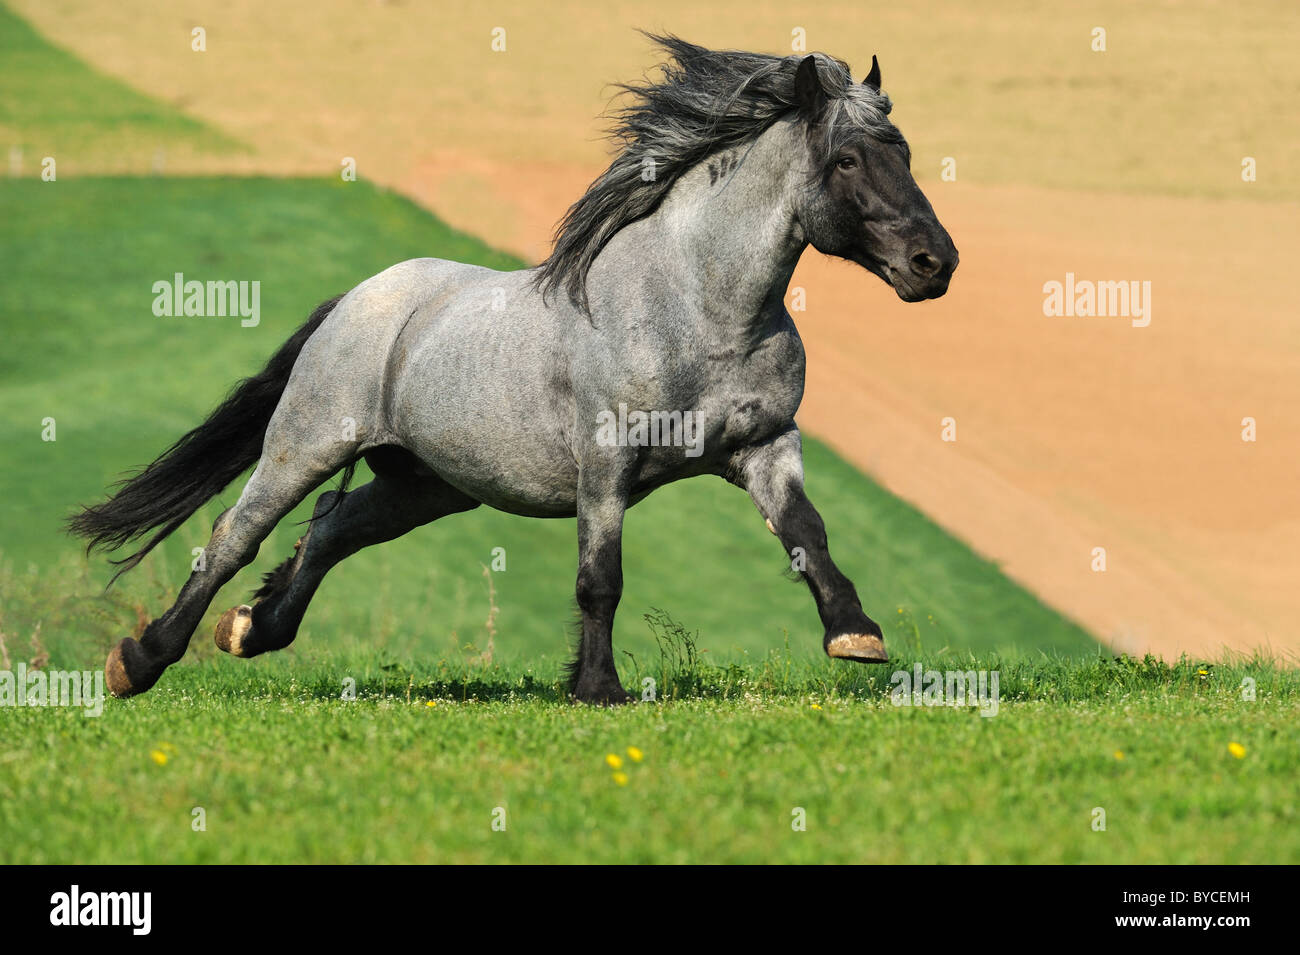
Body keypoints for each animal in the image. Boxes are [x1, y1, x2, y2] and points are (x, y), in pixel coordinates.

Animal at [70, 35, 957, 703]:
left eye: (907, 152)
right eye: (847, 161)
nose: (934, 263)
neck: (697, 308)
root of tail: (357, 299)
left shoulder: (766, 445)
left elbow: (807, 533)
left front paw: (856, 634)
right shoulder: (606, 461)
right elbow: (600, 577)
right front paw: (598, 688)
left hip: (425, 485)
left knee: (329, 528)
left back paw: (253, 630)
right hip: (307, 442)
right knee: (233, 537)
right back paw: (139, 660)